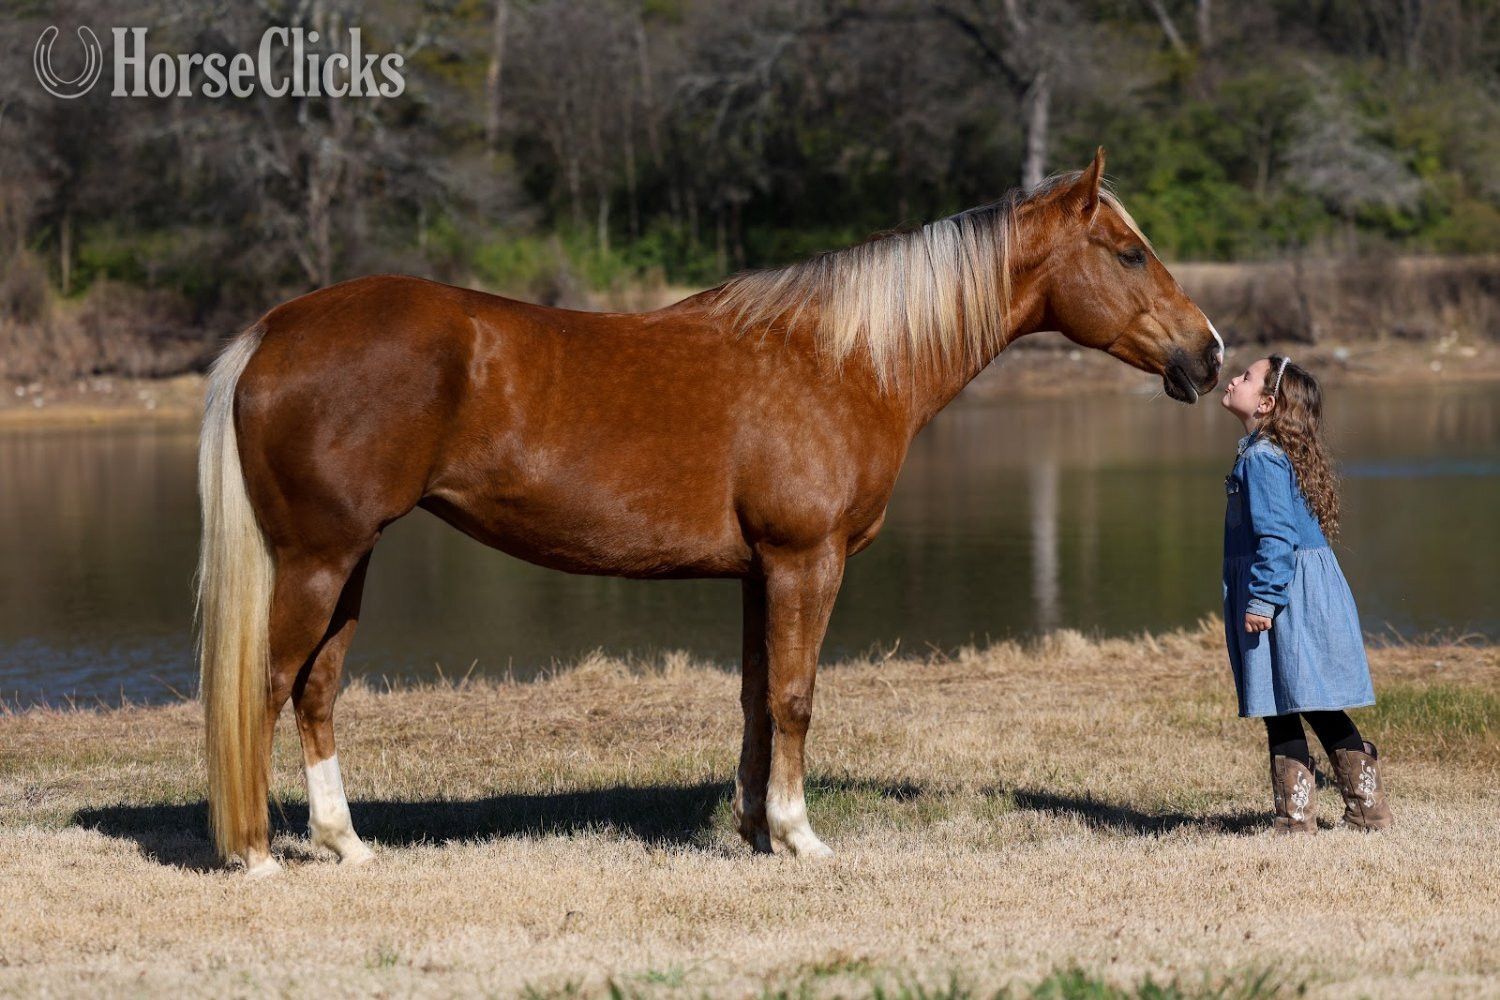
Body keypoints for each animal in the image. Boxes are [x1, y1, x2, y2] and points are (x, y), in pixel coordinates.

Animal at [196, 149, 1224, 876]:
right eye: (1129, 252)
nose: (1209, 354)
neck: (841, 360)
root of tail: (273, 331)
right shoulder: (807, 560)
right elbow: (798, 695)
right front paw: (801, 837)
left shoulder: (760, 572)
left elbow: (757, 699)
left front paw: (754, 830)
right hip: (319, 559)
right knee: (266, 686)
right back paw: (256, 856)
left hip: (351, 560)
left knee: (317, 690)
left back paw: (346, 844)